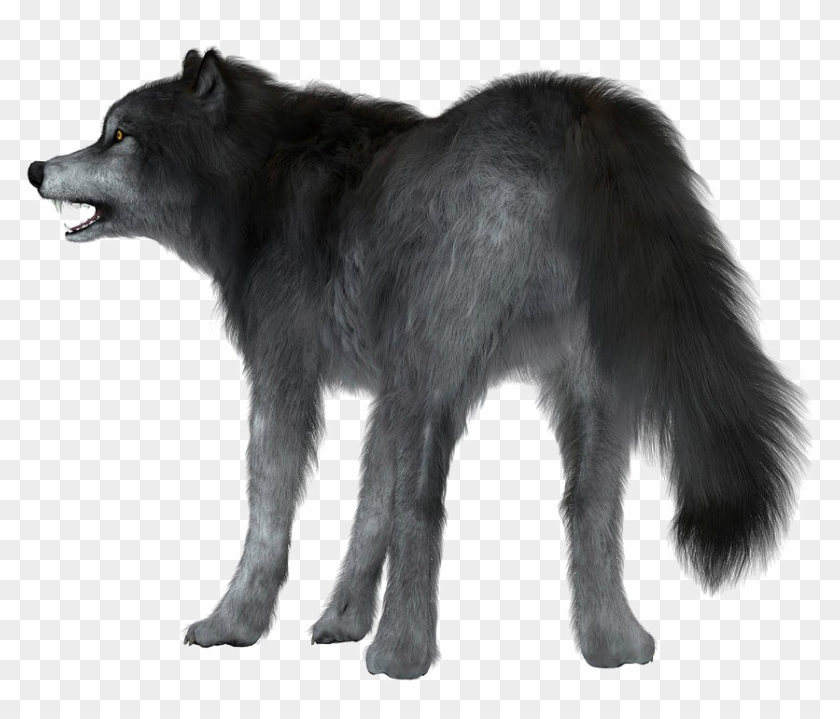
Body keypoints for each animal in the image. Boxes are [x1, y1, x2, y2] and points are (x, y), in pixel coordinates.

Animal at [28, 49, 808, 679]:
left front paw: (235, 625)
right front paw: (340, 619)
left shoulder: (289, 376)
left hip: (437, 382)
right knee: (590, 506)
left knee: (427, 508)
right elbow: (371, 511)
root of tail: (573, 106)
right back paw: (612, 645)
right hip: (581, 394)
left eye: (119, 134)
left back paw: (400, 656)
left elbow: (274, 514)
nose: (35, 167)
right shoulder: (387, 391)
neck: (259, 175)